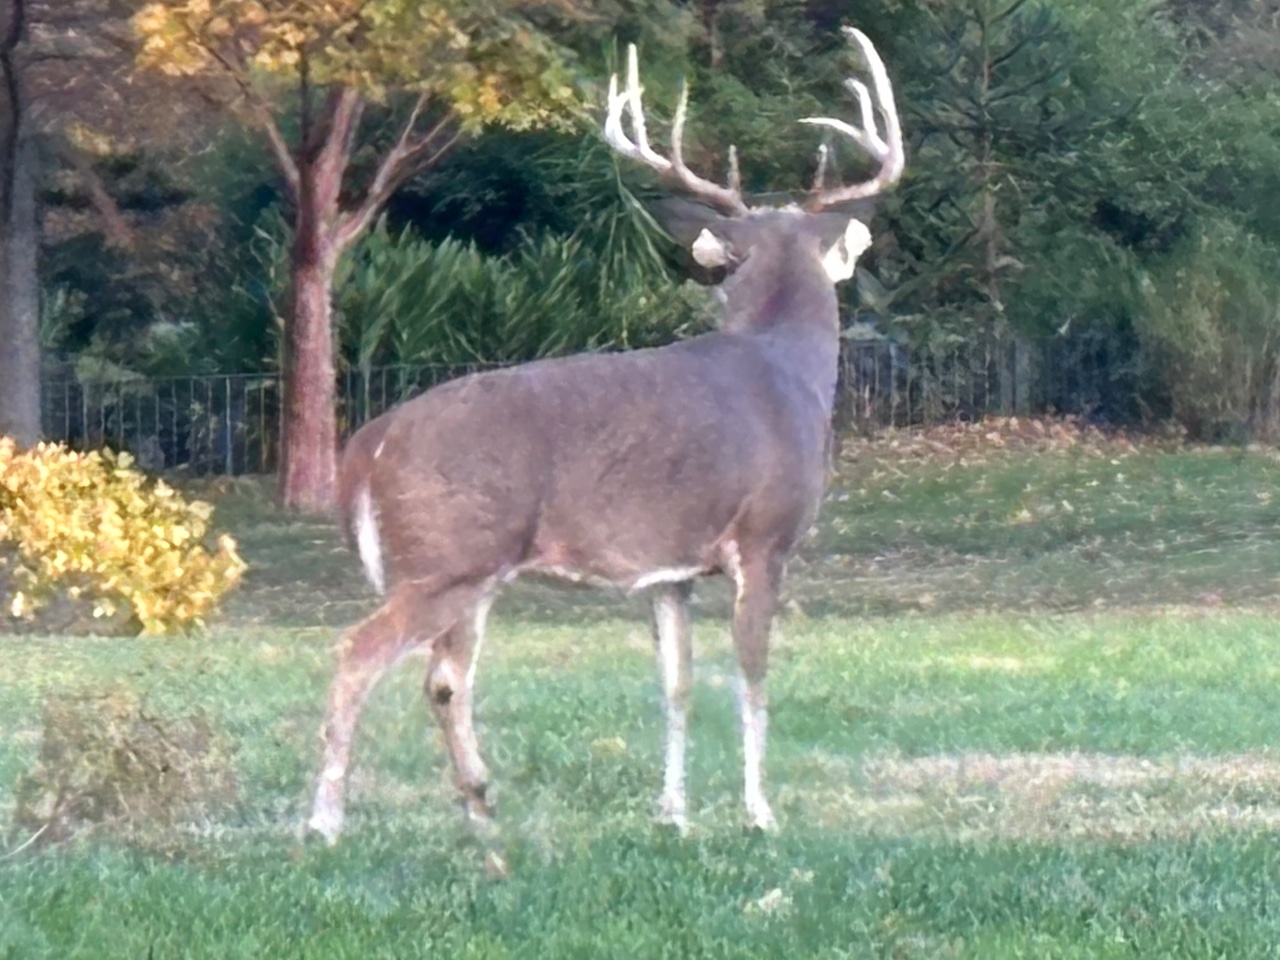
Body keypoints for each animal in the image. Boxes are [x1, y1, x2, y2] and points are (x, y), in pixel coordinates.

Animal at [307, 26, 905, 855]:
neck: (789, 370)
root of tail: (370, 441)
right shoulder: (763, 537)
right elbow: (752, 678)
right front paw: (759, 813)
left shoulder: (670, 570)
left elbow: (676, 685)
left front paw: (672, 812)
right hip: (444, 558)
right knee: (357, 654)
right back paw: (324, 821)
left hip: (468, 570)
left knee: (444, 677)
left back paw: (482, 810)